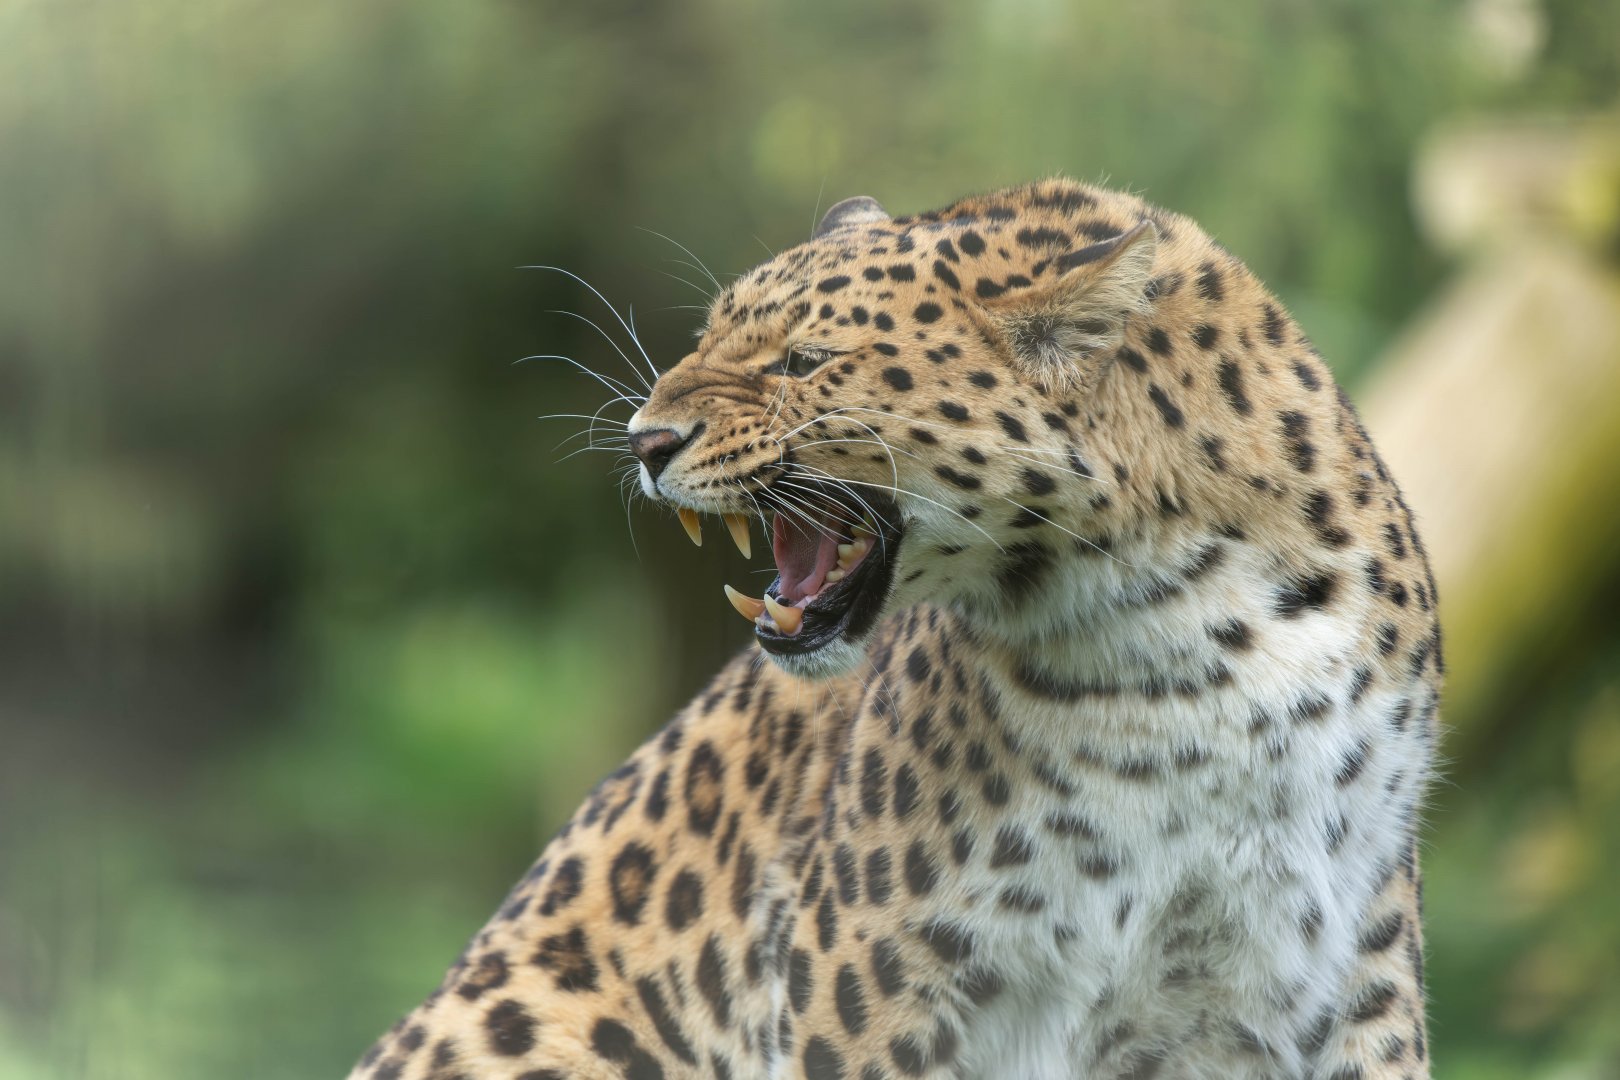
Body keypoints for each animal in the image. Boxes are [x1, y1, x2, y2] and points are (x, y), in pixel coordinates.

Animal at [349, 179, 1440, 1079]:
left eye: (805, 361)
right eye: (706, 337)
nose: (645, 442)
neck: (1196, 643)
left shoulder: (1349, 955)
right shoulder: (876, 969)